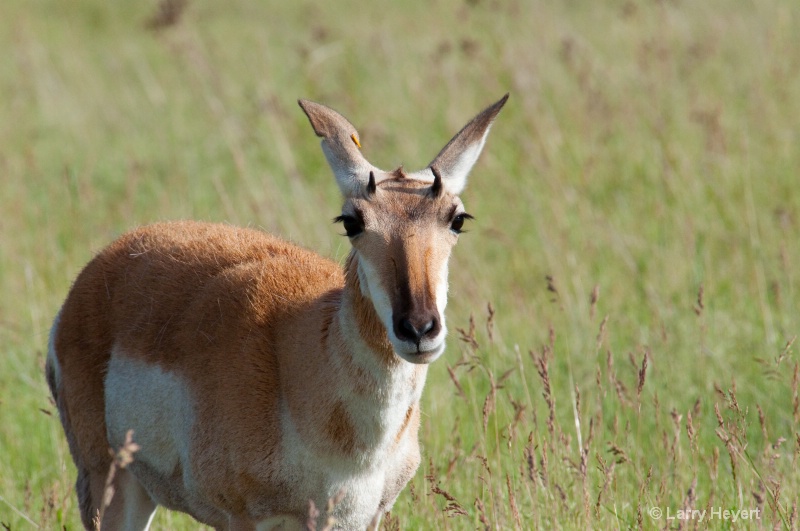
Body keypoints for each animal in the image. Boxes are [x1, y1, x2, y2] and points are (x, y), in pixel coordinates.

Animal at [45, 93, 506, 528]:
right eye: (351, 221)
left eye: (457, 218)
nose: (419, 328)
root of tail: (99, 269)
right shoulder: (244, 518)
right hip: (110, 485)